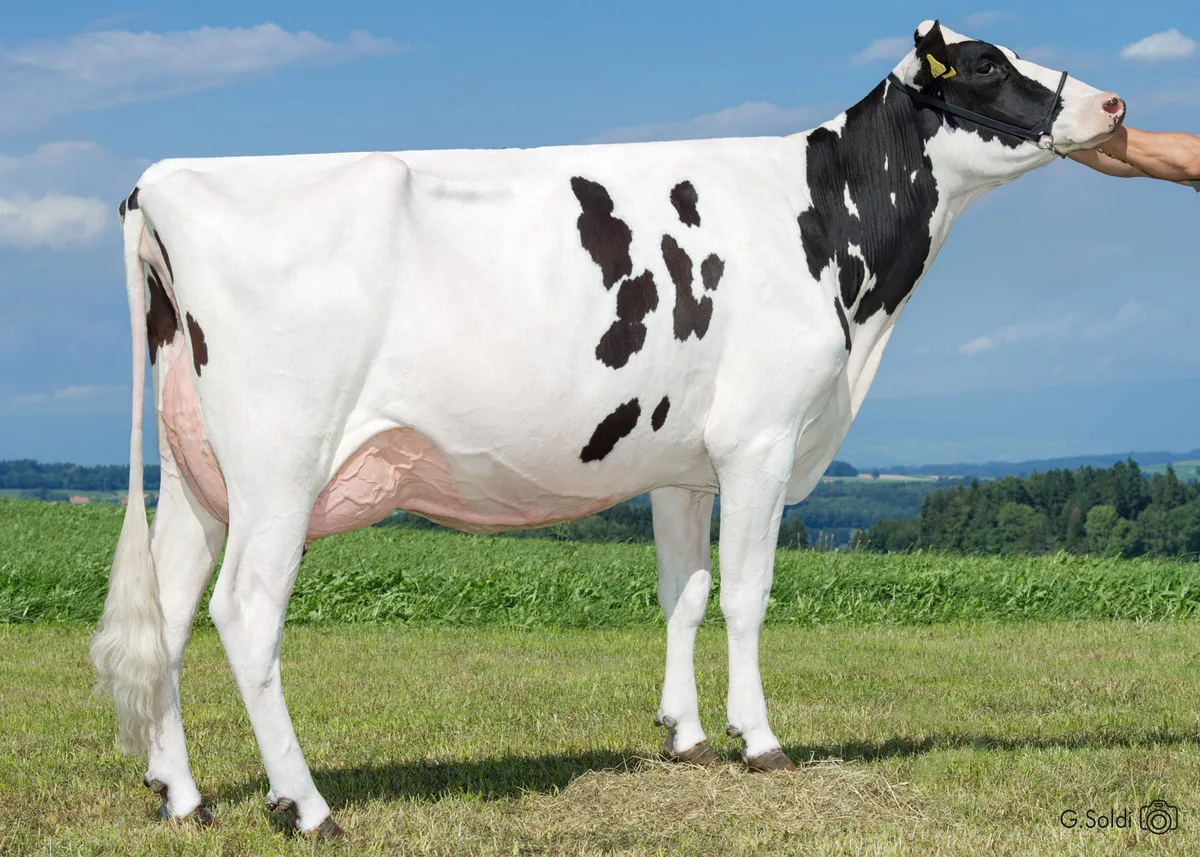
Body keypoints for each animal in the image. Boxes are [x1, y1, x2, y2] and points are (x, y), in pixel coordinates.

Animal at [90, 20, 1125, 835]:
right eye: (987, 63)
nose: (1113, 102)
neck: (833, 235)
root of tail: (162, 183)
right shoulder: (761, 439)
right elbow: (747, 595)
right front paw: (760, 740)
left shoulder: (684, 464)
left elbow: (686, 593)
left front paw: (687, 734)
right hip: (279, 465)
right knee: (243, 613)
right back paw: (306, 805)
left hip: (199, 475)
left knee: (168, 614)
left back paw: (183, 794)